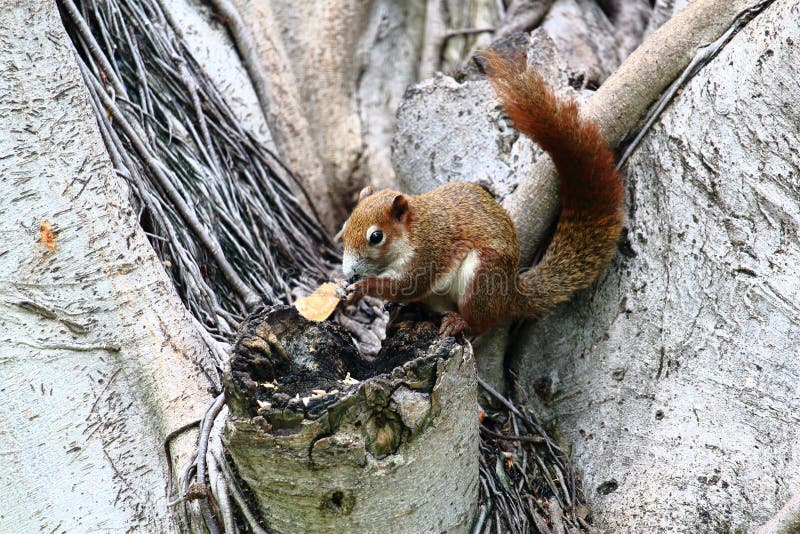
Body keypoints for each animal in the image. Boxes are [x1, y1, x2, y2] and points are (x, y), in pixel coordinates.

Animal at [340, 49, 620, 336]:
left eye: (376, 237)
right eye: (345, 226)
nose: (349, 271)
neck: (413, 231)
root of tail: (510, 295)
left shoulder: (427, 254)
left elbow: (407, 285)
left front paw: (362, 289)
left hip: (481, 277)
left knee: (482, 323)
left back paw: (459, 322)